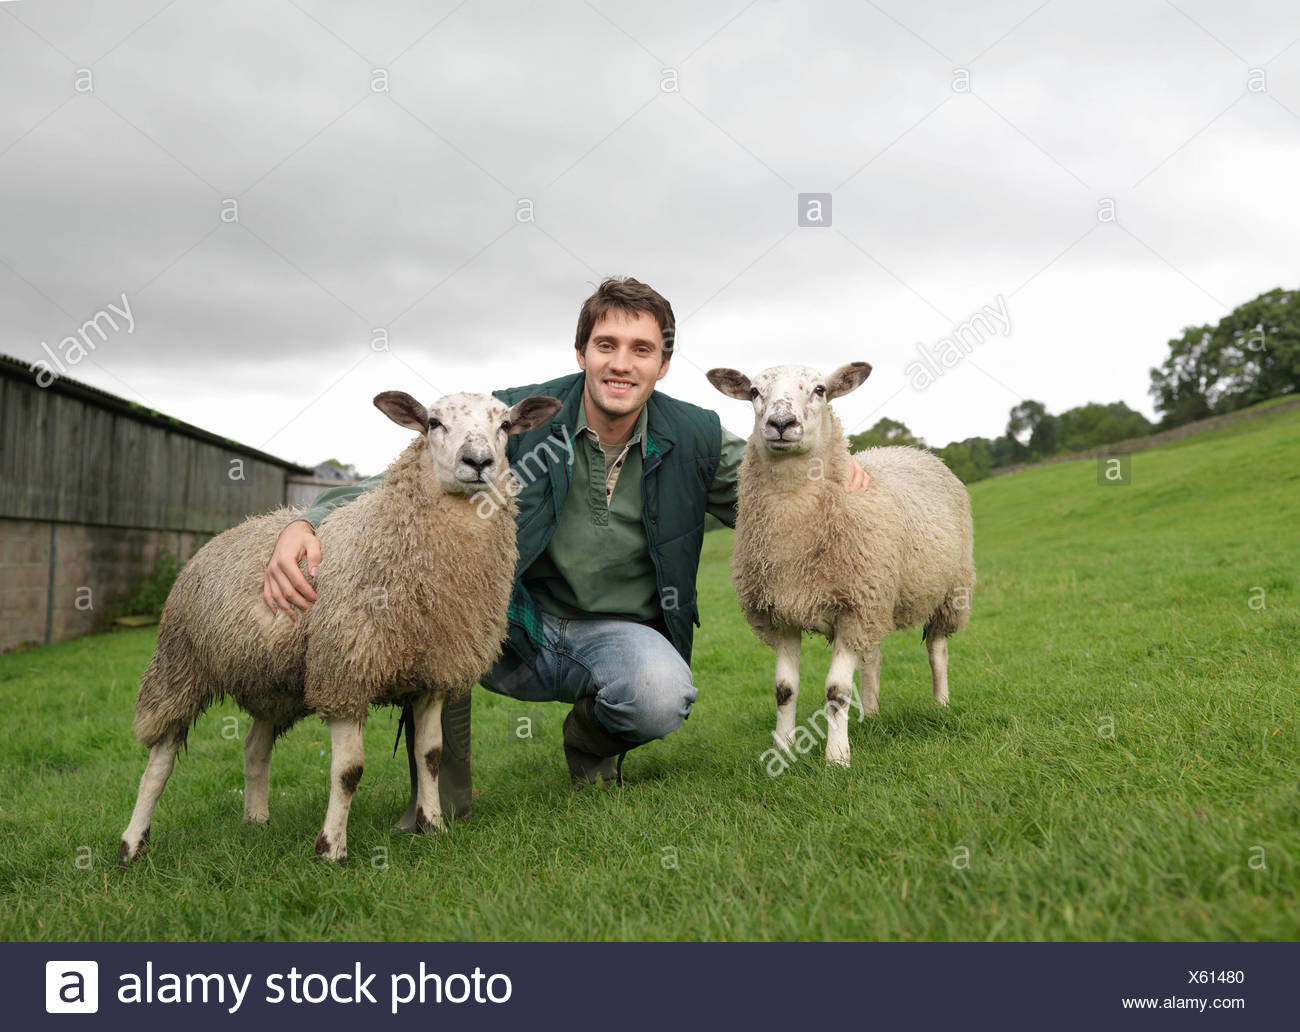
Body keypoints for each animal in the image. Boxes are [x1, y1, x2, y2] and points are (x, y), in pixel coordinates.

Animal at [119, 388, 562, 863]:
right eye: (433, 423)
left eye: (505, 425)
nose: (478, 461)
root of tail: (226, 533)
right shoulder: (344, 671)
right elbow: (350, 771)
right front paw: (331, 847)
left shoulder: (434, 674)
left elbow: (430, 755)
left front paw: (433, 825)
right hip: (180, 666)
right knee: (159, 761)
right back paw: (132, 844)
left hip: (274, 682)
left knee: (254, 748)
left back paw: (256, 821)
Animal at [706, 362, 974, 768]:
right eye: (754, 391)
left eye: (820, 389)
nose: (781, 423)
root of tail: (913, 450)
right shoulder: (783, 612)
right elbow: (784, 690)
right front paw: (782, 750)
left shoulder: (853, 608)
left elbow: (836, 691)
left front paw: (837, 757)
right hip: (876, 599)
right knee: (873, 657)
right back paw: (871, 714)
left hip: (948, 592)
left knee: (937, 649)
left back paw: (941, 703)